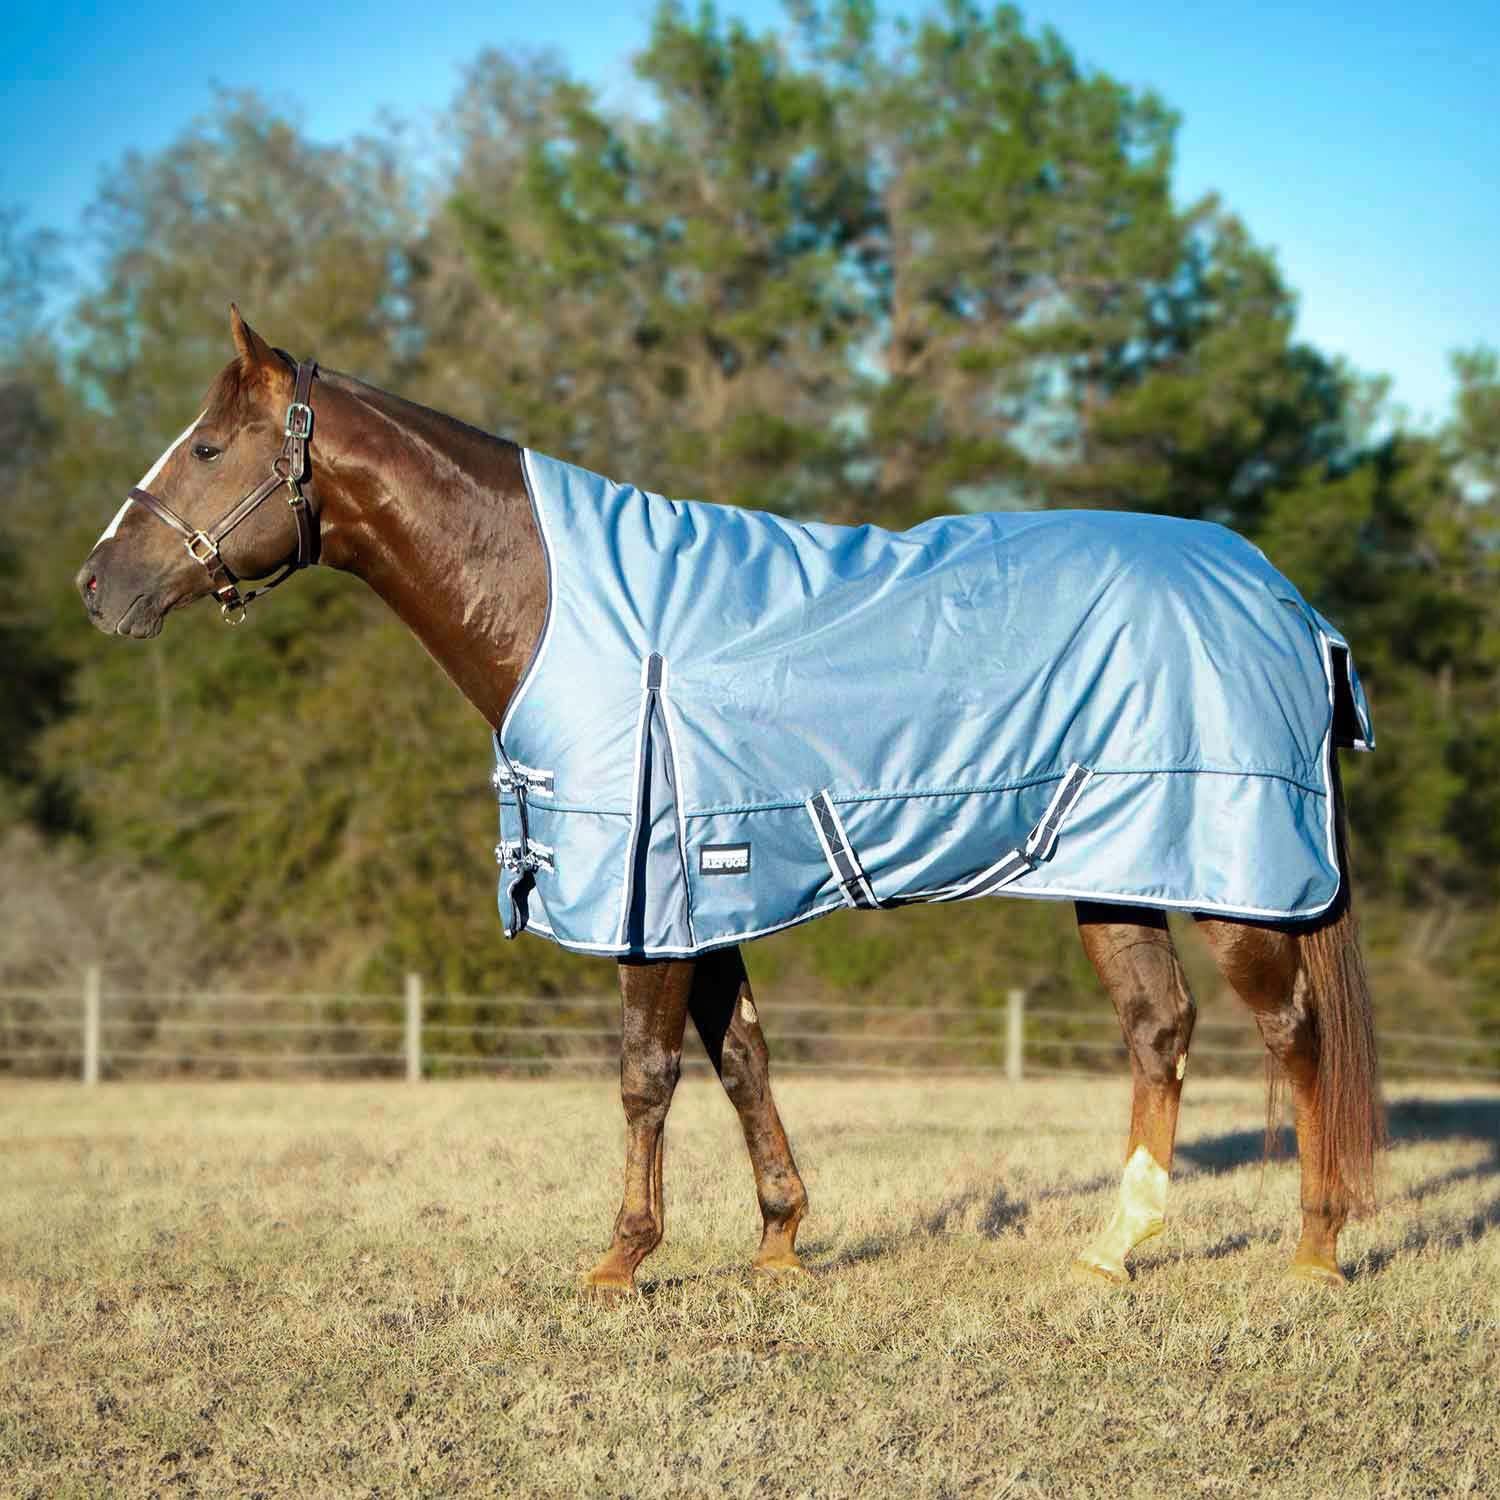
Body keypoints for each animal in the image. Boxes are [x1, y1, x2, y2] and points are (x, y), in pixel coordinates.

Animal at [77, 307, 1384, 1291]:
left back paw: (1315, 1251)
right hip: (1112, 870)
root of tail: (1287, 601)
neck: (565, 609)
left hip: (1235, 875)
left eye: (206, 449)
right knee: (1159, 1030)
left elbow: (646, 1074)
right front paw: (779, 1243)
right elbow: (741, 1058)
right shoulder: (706, 896)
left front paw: (621, 1263)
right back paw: (1113, 1249)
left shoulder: (647, 896)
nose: (99, 585)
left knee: (1293, 1035)